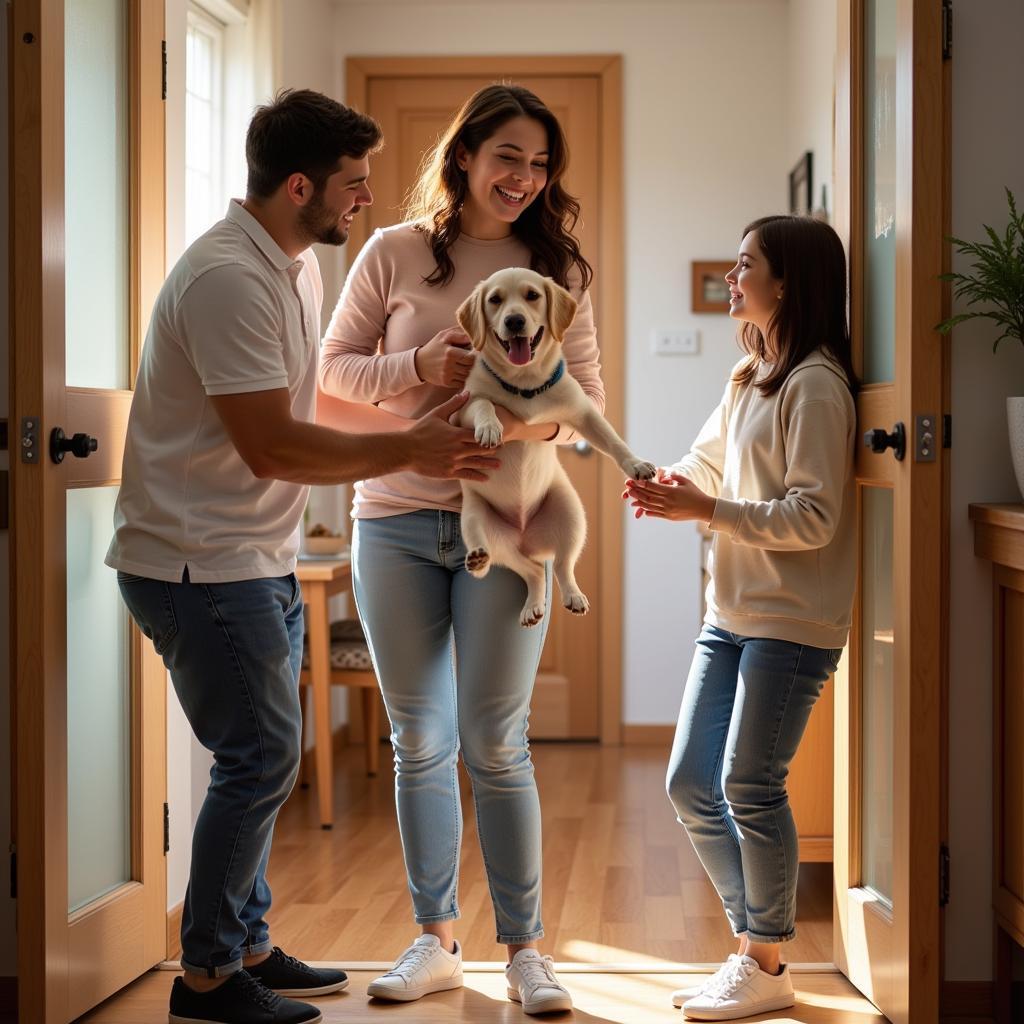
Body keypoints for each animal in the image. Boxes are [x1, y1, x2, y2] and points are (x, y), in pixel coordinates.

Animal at [456, 264, 655, 626]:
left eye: (532, 295)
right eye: (495, 300)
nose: (514, 321)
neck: (524, 384)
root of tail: (527, 538)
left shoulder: (583, 413)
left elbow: (613, 440)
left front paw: (635, 464)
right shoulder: (463, 407)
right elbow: (485, 404)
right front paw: (491, 427)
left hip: (571, 514)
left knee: (562, 565)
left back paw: (573, 596)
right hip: (478, 520)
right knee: (529, 569)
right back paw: (487, 567)